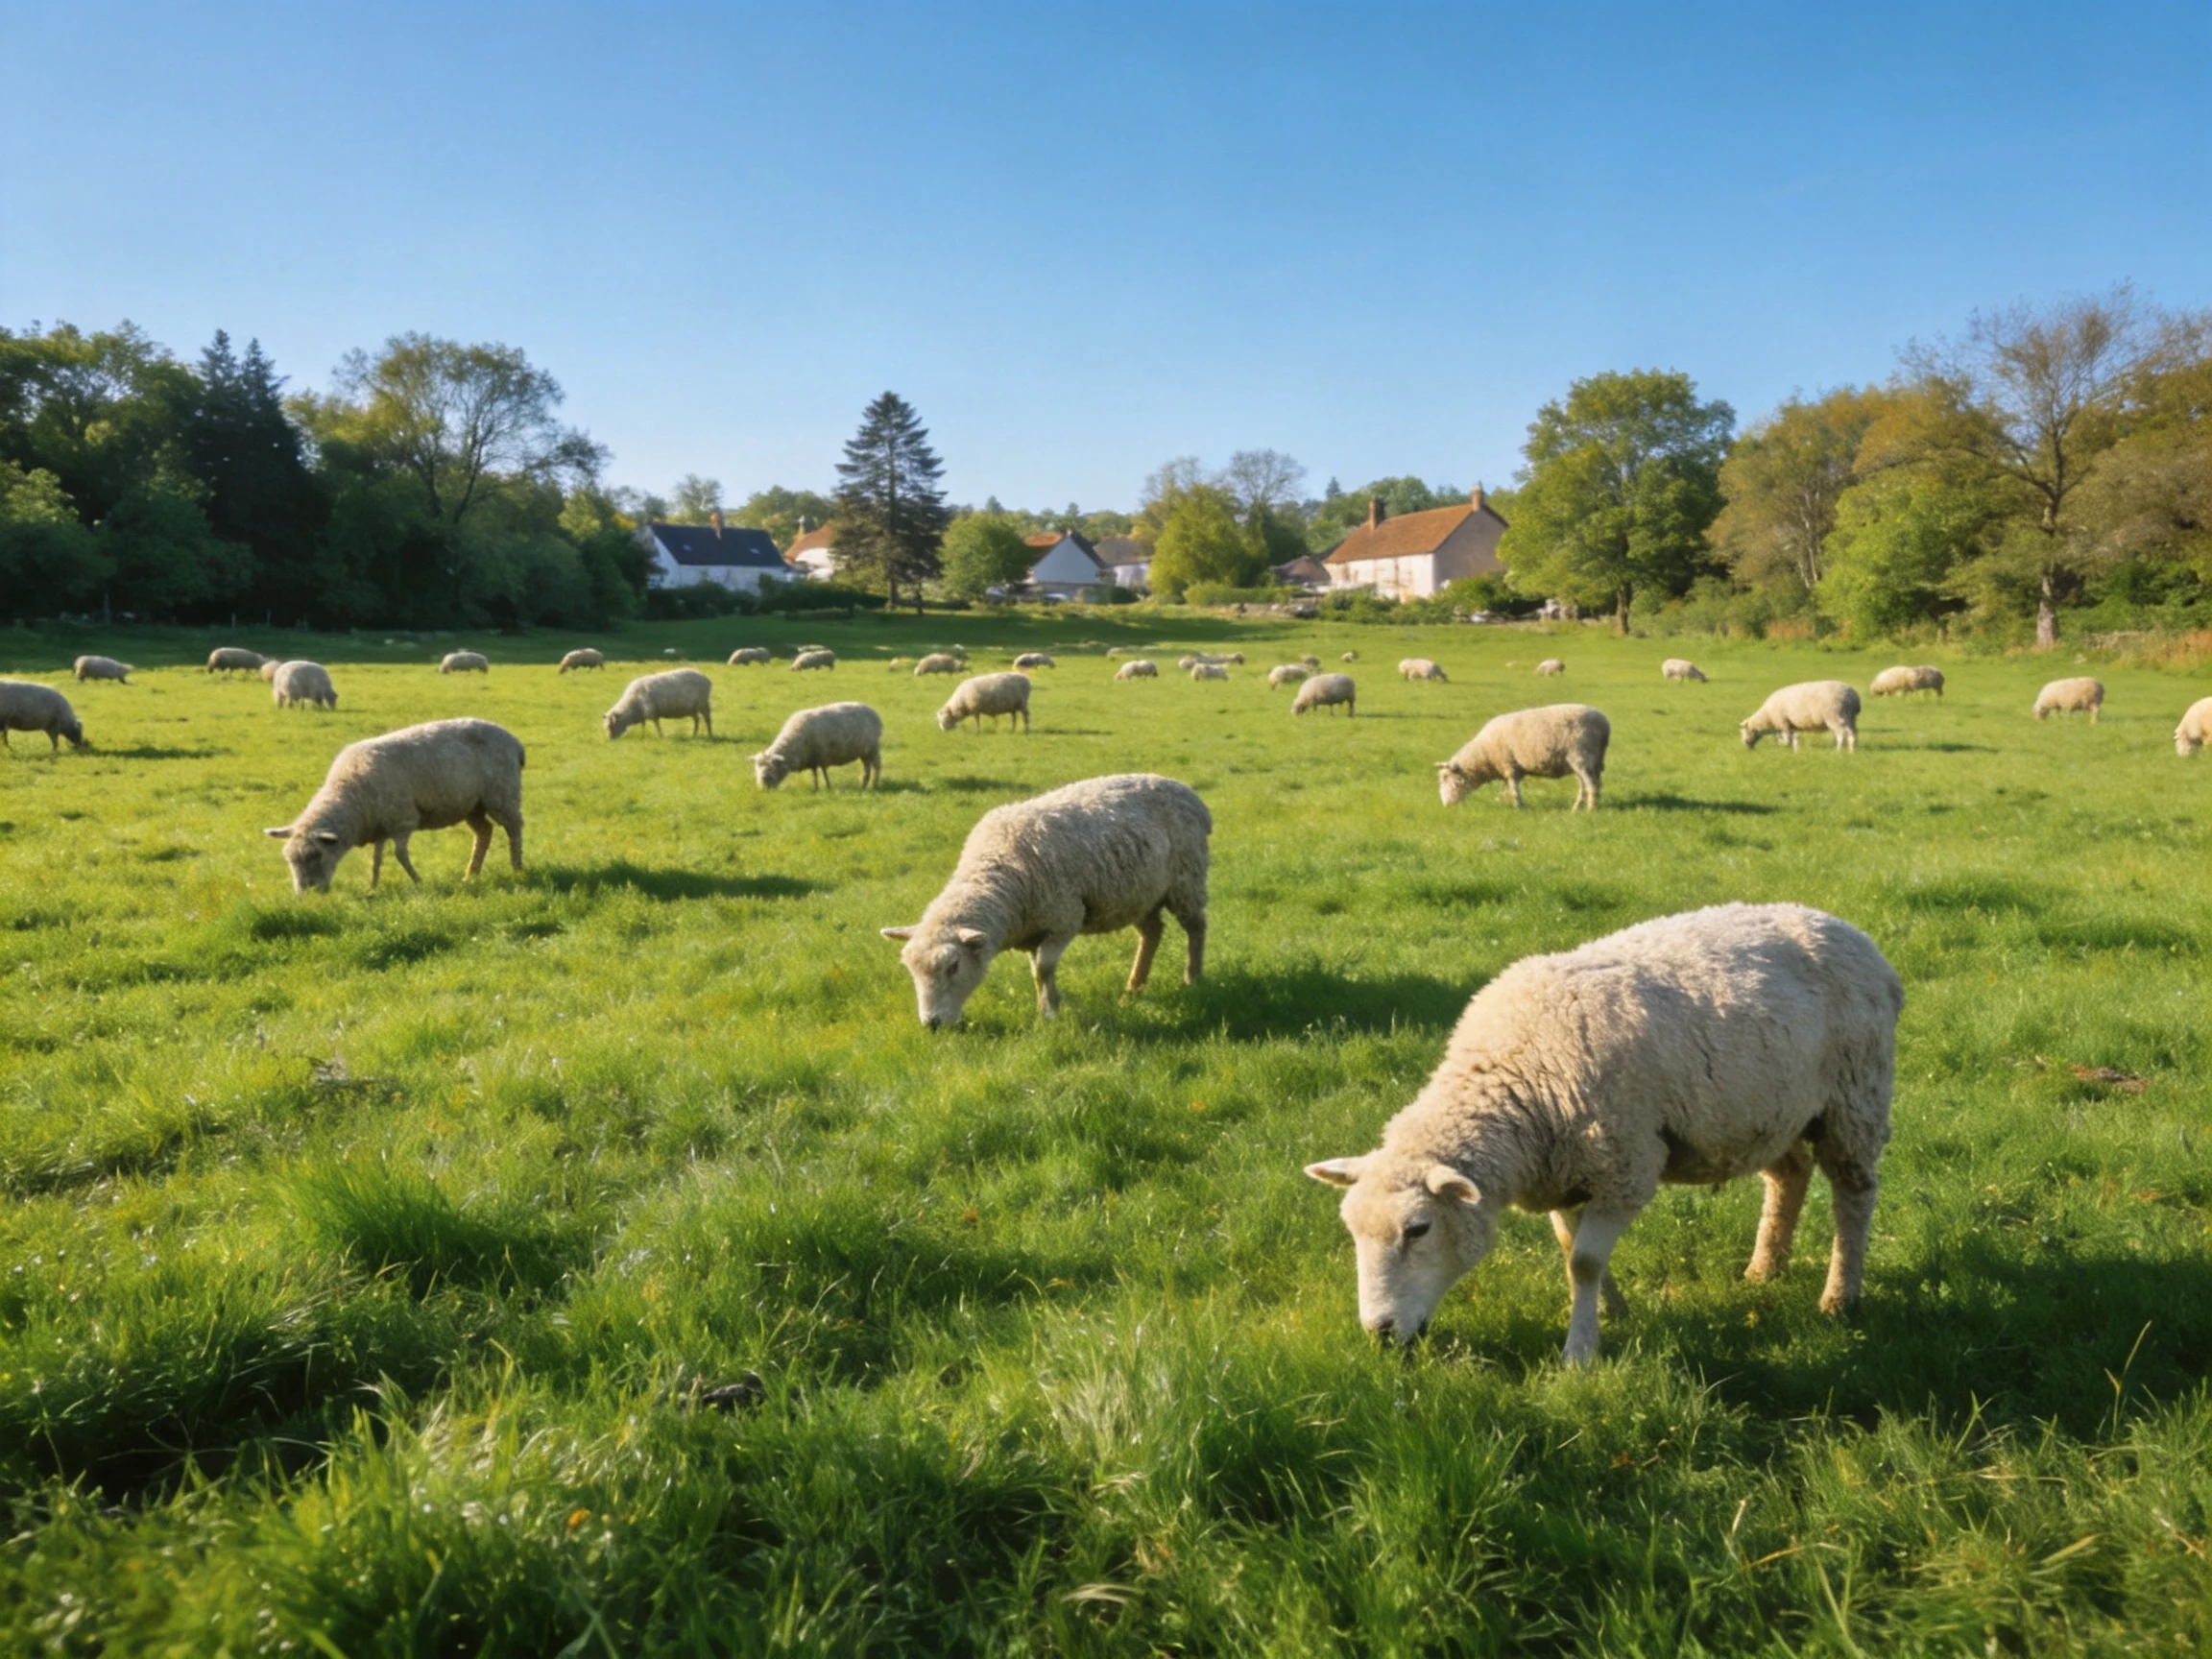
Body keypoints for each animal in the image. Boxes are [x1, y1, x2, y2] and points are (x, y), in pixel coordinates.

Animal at [264, 717, 524, 892]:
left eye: (315, 855)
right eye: (290, 860)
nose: (305, 894)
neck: (351, 793)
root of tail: (513, 740)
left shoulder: (403, 820)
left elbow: (400, 855)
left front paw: (418, 881)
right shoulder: (380, 826)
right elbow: (376, 859)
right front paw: (373, 886)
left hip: (502, 793)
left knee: (514, 828)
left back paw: (517, 868)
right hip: (472, 805)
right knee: (484, 832)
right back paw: (471, 874)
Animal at [752, 702, 882, 790]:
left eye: (771, 770)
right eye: (757, 770)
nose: (763, 789)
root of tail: (873, 711)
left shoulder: (822, 756)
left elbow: (824, 773)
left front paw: (828, 786)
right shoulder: (812, 759)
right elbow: (814, 774)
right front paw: (816, 787)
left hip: (873, 748)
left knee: (876, 766)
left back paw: (874, 784)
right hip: (864, 752)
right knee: (867, 767)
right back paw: (864, 783)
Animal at [882, 773, 1210, 1025]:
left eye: (953, 967)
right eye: (910, 971)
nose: (932, 1024)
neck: (999, 871)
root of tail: (1182, 788)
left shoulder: (1064, 921)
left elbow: (1044, 968)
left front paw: (1049, 1013)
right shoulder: (1033, 930)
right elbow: (1036, 972)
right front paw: (1048, 1005)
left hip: (1187, 879)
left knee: (1196, 927)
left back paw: (1192, 978)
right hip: (1139, 895)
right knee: (1152, 933)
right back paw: (1134, 987)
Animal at [1305, 902, 1900, 1363]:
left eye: (1419, 1229)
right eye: (1352, 1231)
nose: (1380, 1334)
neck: (1520, 1080)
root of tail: (1848, 930)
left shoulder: (1624, 1168)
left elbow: (1585, 1261)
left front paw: (1581, 1350)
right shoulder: (1564, 1174)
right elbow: (1573, 1251)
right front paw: (1610, 1312)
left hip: (1854, 1099)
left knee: (1854, 1194)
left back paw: (1840, 1297)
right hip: (1775, 1111)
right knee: (1788, 1178)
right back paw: (1763, 1270)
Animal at [1438, 704, 1609, 811]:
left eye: (1446, 778)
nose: (1446, 805)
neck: (1484, 755)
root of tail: (1604, 724)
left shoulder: (1509, 766)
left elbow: (1514, 789)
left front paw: (1519, 807)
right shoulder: (1507, 769)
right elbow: (1506, 788)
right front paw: (1505, 803)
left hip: (1581, 756)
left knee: (1591, 785)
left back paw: (1590, 809)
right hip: (1591, 760)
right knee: (1588, 785)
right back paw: (1578, 808)